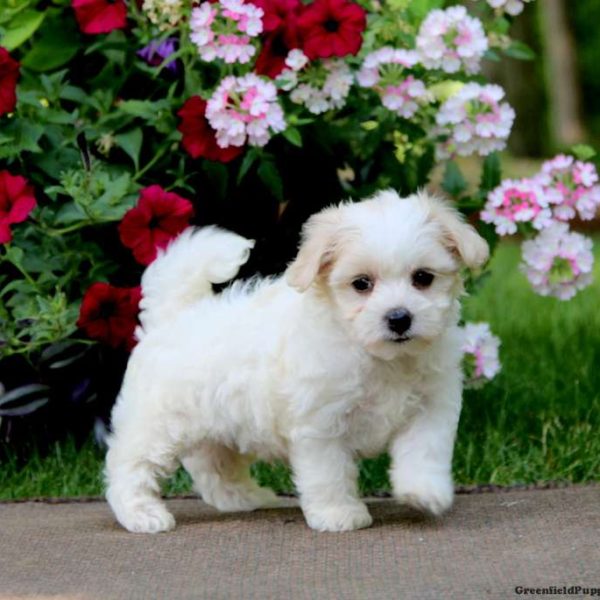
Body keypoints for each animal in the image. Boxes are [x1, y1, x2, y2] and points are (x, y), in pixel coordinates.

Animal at [104, 190, 488, 532]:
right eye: (361, 284)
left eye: (423, 277)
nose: (399, 318)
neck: (378, 357)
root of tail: (172, 316)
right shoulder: (321, 423)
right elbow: (329, 473)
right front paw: (338, 514)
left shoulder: (431, 406)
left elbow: (424, 450)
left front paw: (425, 491)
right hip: (158, 422)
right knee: (129, 465)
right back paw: (142, 515)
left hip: (218, 427)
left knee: (214, 468)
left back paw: (246, 497)